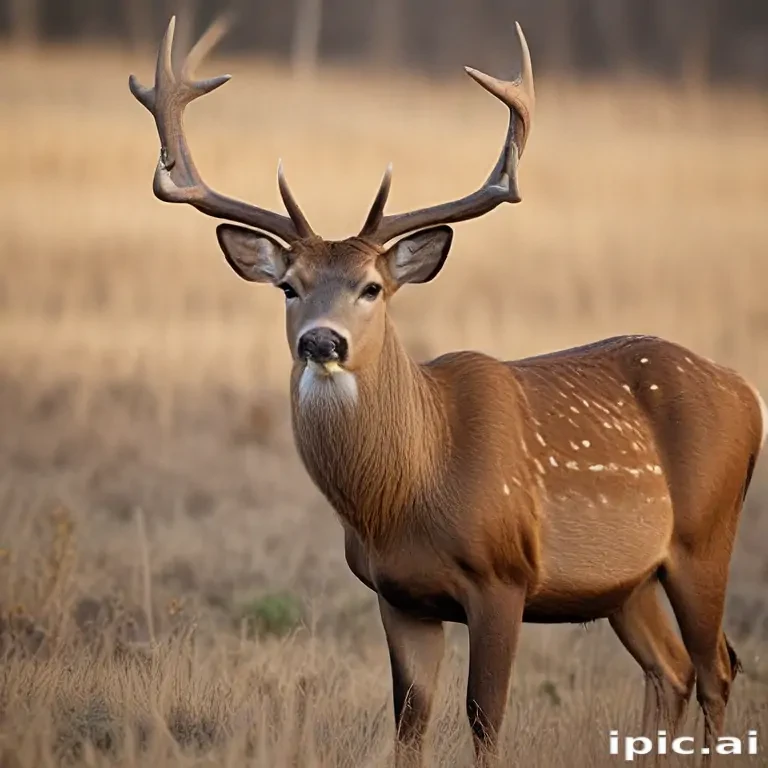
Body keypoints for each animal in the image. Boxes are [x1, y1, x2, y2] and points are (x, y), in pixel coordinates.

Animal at [129, 16, 767, 768]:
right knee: (670, 669)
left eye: (372, 287)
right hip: (627, 582)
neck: (408, 492)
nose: (322, 342)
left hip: (704, 537)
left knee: (717, 667)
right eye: (288, 286)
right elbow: (411, 719)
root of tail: (746, 391)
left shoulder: (504, 576)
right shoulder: (400, 595)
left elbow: (484, 717)